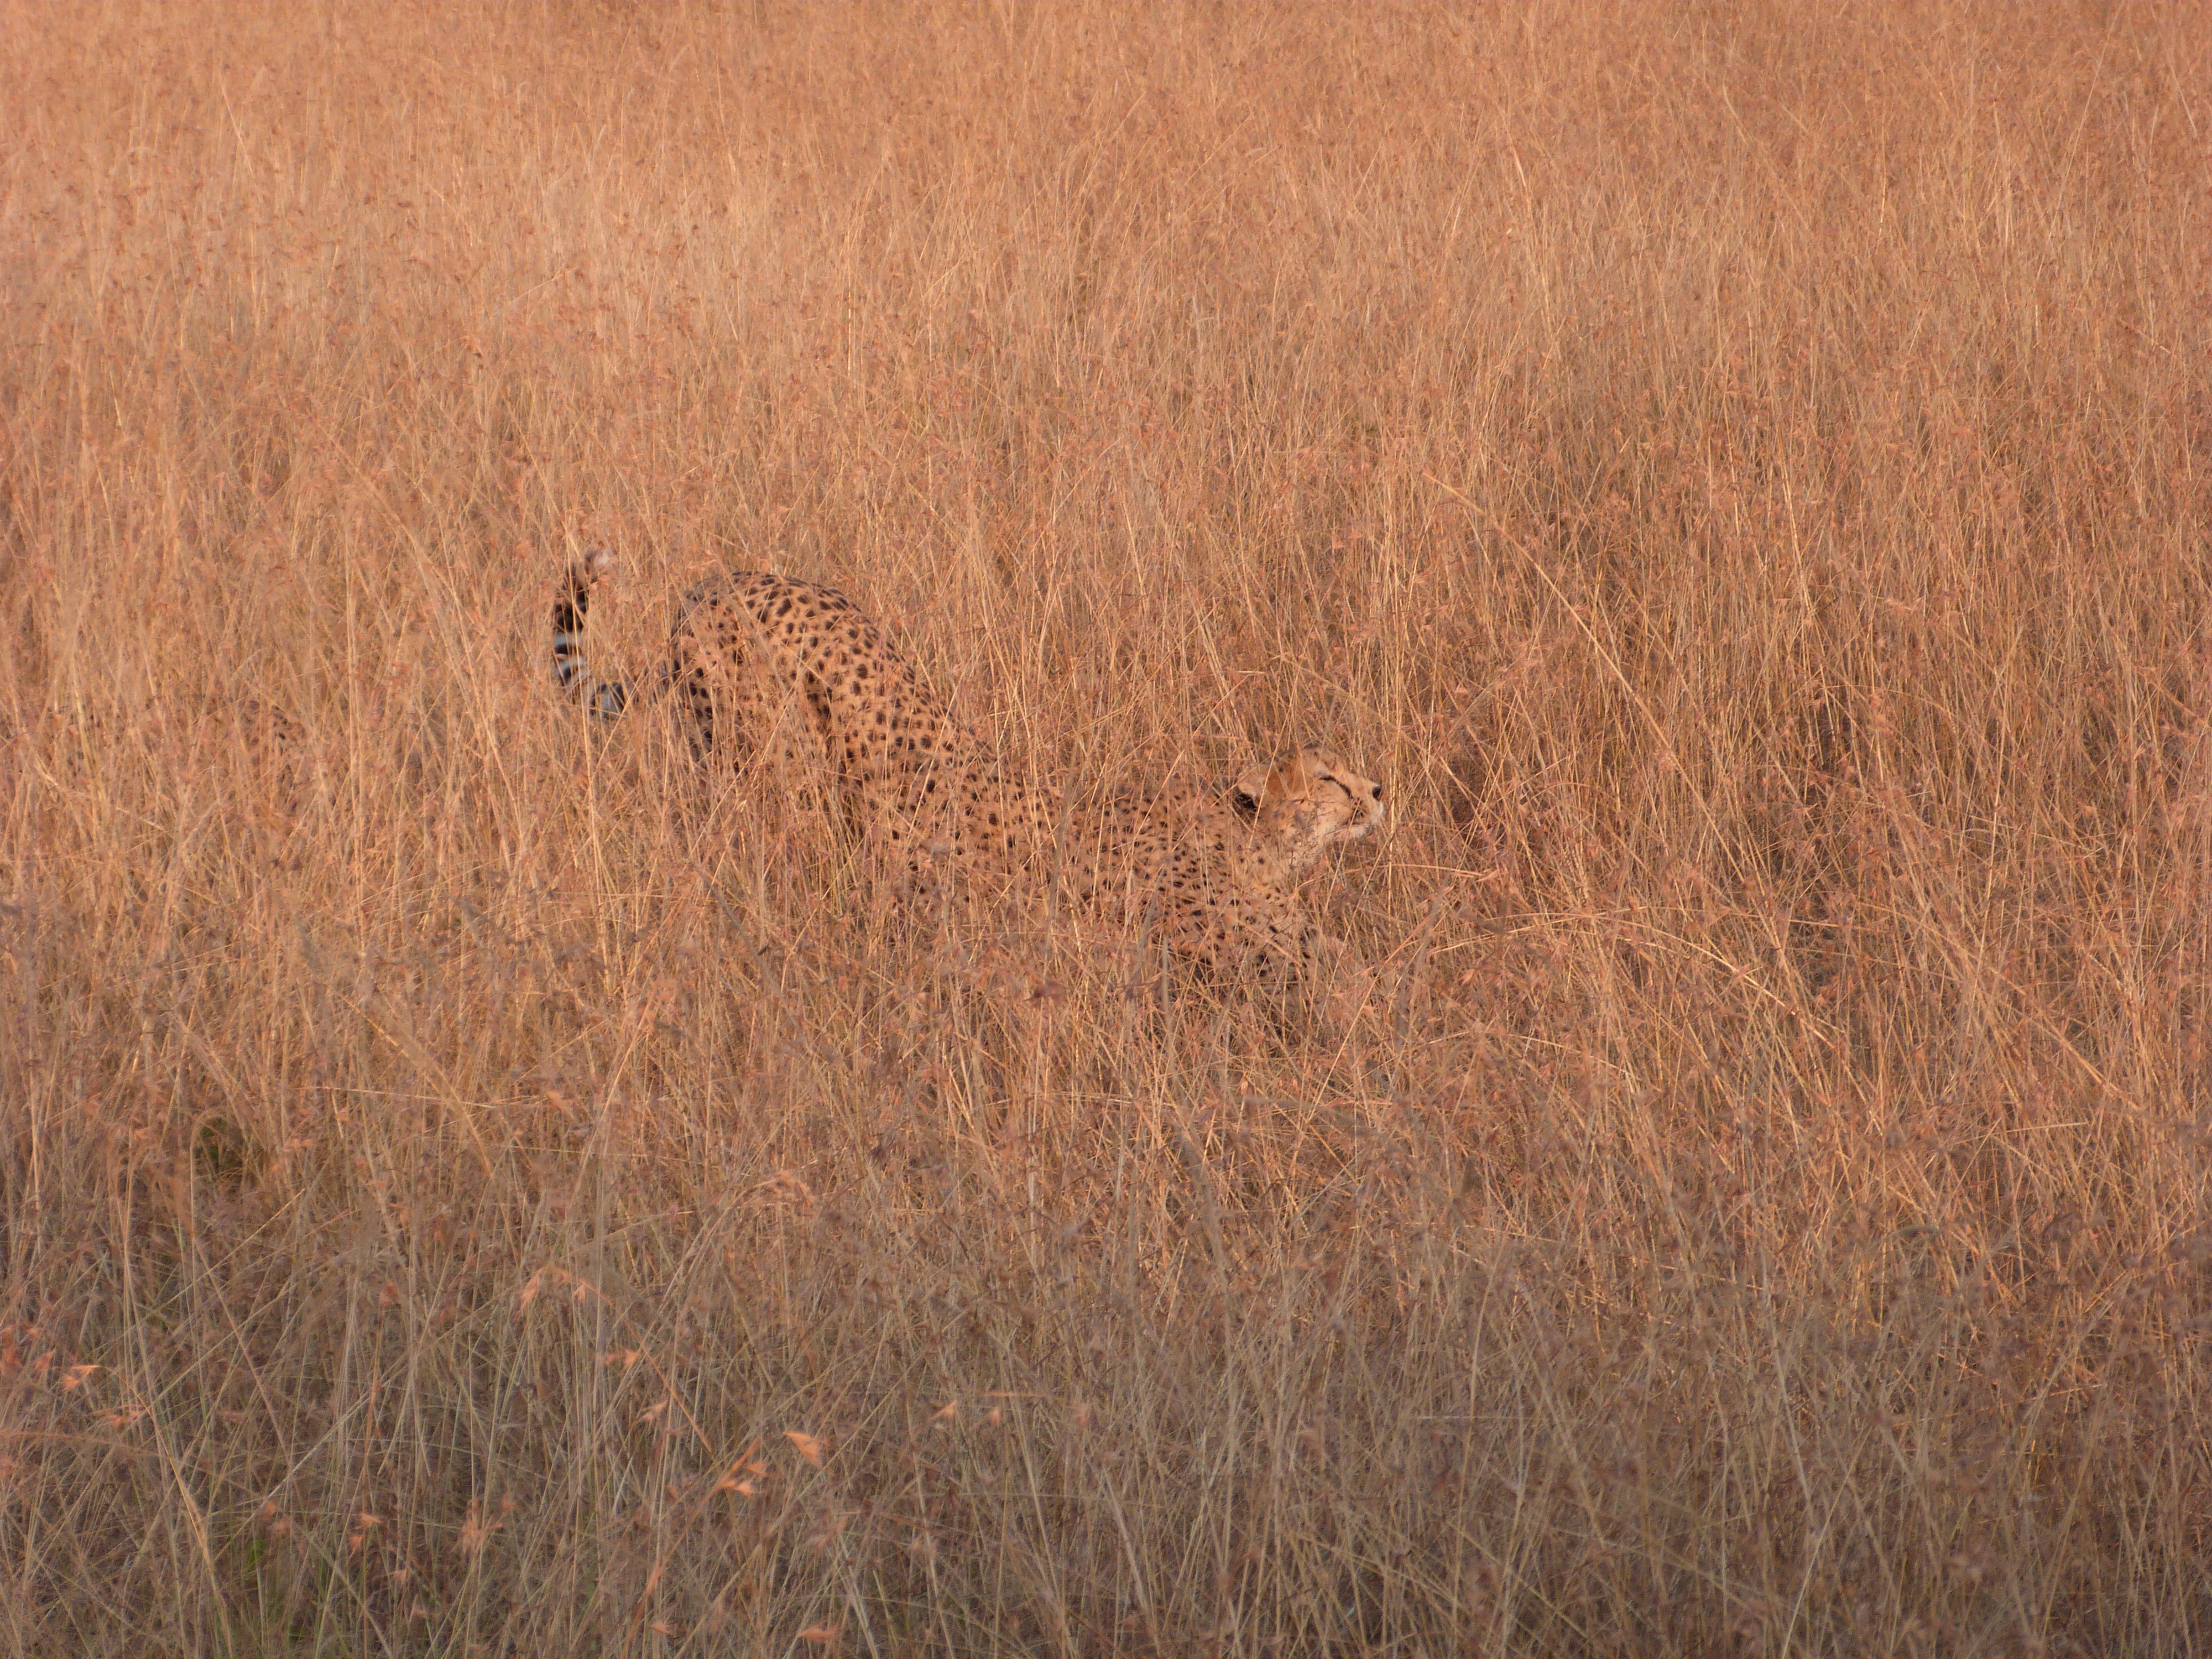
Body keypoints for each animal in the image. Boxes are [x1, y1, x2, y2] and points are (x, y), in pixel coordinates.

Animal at [553, 560, 1380, 1000]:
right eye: (1330, 778)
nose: (1377, 793)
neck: (1250, 836)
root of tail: (727, 579)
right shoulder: (1224, 942)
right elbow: (1342, 973)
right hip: (761, 768)